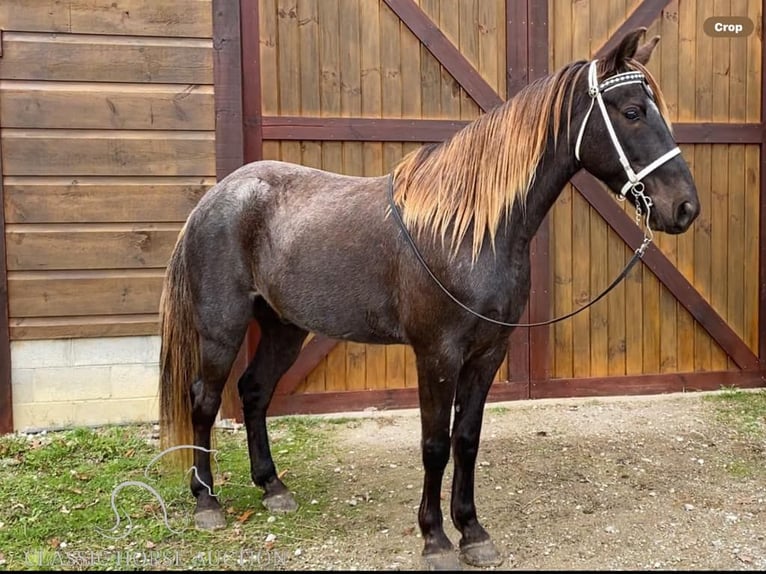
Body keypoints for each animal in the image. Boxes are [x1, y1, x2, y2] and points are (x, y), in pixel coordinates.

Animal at [160, 28, 704, 572]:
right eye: (632, 111)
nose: (685, 208)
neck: (470, 230)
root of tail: (214, 198)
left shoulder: (487, 354)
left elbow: (466, 440)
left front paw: (473, 532)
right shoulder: (437, 356)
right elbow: (435, 445)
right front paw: (436, 539)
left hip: (284, 327)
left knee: (254, 391)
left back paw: (273, 487)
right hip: (222, 329)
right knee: (205, 400)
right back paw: (207, 502)